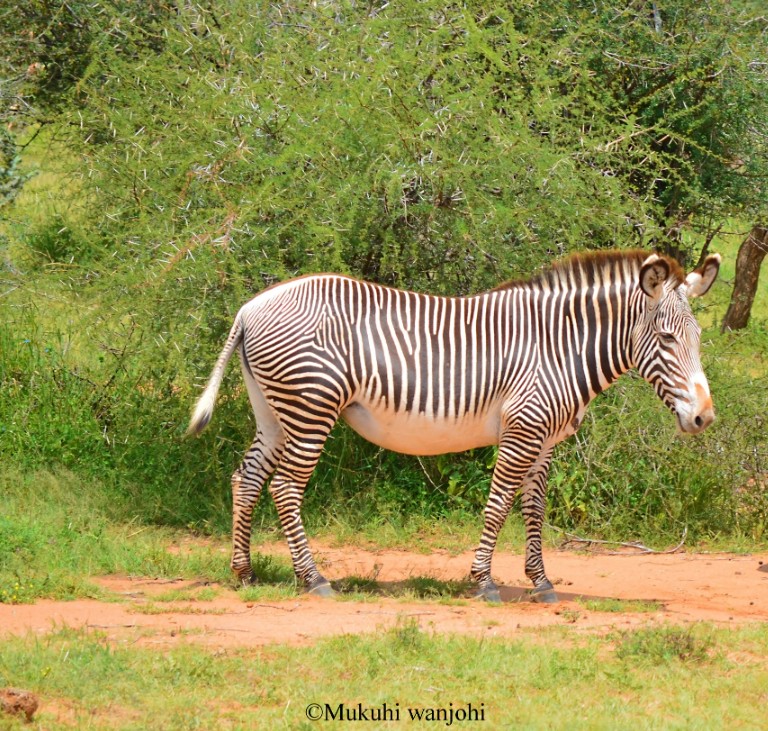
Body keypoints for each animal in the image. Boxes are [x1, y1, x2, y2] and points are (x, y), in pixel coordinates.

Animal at [188, 249, 720, 603]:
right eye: (667, 339)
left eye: (698, 336)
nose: (705, 417)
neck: (561, 347)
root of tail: (249, 308)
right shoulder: (523, 427)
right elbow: (499, 503)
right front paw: (484, 581)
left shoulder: (545, 438)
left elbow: (533, 508)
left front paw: (541, 581)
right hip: (310, 407)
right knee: (285, 487)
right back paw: (313, 579)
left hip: (273, 410)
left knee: (247, 477)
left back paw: (244, 572)